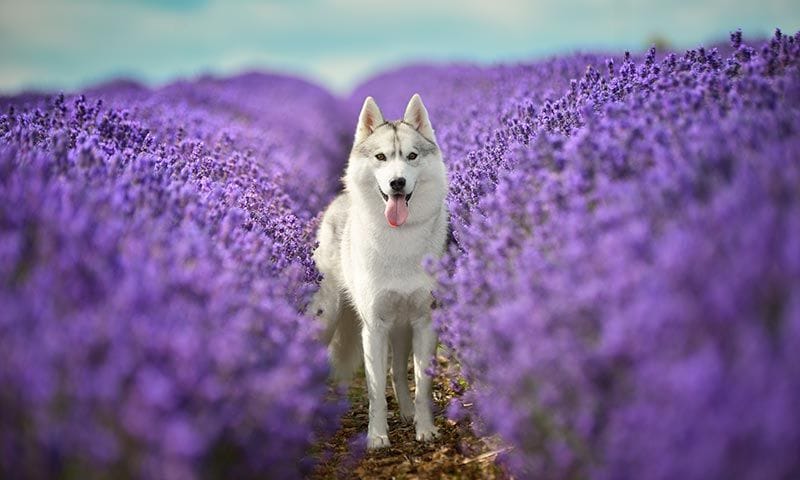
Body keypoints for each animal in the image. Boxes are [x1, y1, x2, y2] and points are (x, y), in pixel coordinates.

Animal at [310, 94, 450, 450]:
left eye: (411, 156)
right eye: (381, 157)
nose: (397, 182)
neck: (399, 241)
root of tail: (338, 202)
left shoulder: (424, 322)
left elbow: (422, 386)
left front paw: (425, 430)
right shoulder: (374, 327)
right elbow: (375, 393)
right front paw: (377, 437)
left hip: (401, 331)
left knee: (398, 373)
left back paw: (407, 413)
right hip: (326, 318)